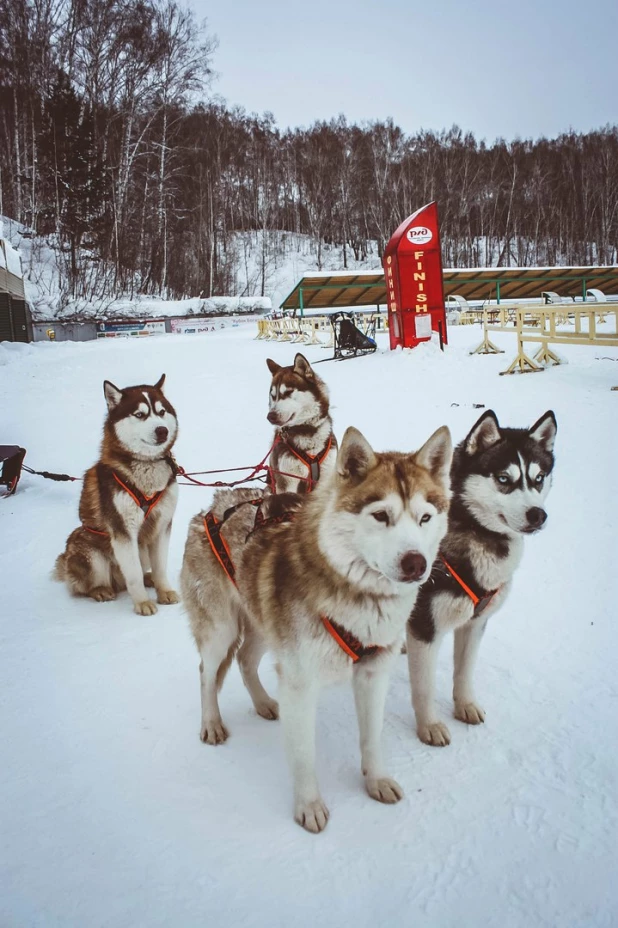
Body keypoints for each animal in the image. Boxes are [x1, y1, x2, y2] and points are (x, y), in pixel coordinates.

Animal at [53, 374, 179, 612]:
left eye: (161, 412)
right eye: (139, 414)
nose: (162, 430)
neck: (146, 467)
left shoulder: (162, 525)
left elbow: (160, 566)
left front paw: (164, 591)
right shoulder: (123, 530)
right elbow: (134, 574)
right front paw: (142, 602)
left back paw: (149, 579)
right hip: (88, 550)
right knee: (88, 586)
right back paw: (101, 590)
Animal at [180, 424, 450, 832]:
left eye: (425, 518)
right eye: (381, 516)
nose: (416, 563)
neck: (359, 599)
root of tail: (213, 506)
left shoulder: (373, 673)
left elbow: (371, 738)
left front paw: (376, 781)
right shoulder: (300, 683)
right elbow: (304, 755)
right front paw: (308, 806)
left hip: (261, 624)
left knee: (244, 660)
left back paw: (262, 703)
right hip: (220, 631)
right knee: (206, 672)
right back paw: (211, 722)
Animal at [262, 354, 334, 492]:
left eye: (288, 392)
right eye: (273, 396)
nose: (270, 416)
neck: (306, 429)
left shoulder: (325, 479)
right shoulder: (287, 481)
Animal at [406, 410, 556, 744]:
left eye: (539, 479)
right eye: (503, 479)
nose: (538, 515)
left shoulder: (475, 623)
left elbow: (464, 671)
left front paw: (465, 705)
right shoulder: (426, 628)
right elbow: (424, 687)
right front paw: (429, 726)